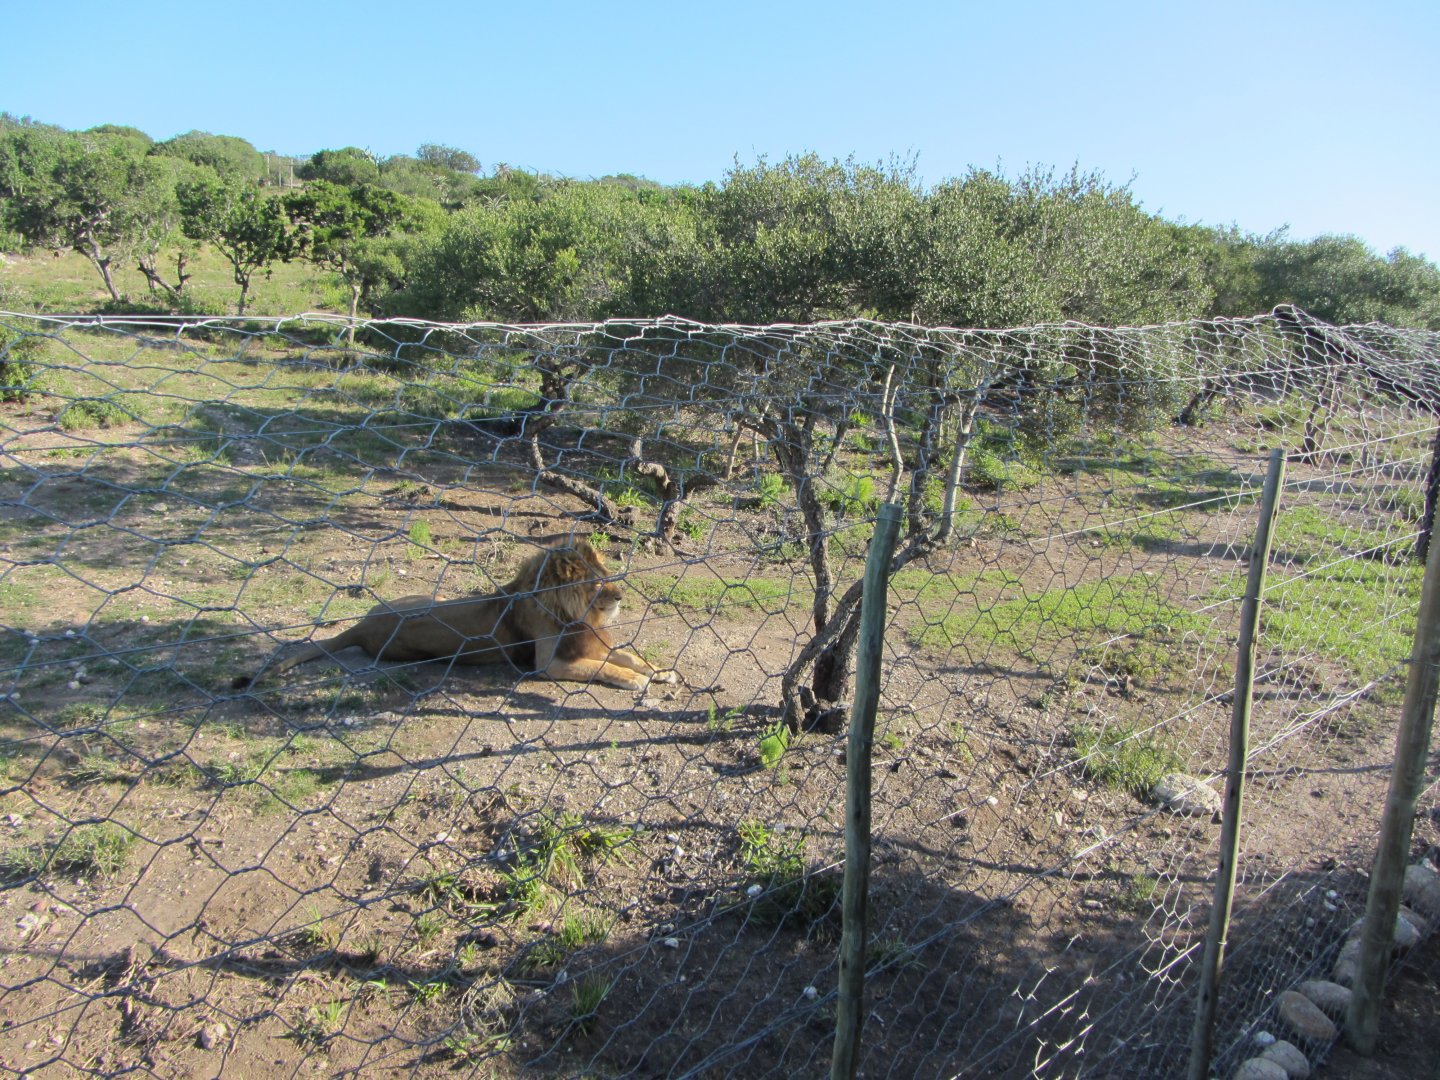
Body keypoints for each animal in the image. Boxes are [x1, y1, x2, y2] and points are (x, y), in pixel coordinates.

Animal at [231, 539, 678, 693]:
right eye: (599, 584)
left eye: (609, 575)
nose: (622, 593)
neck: (573, 612)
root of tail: (363, 624)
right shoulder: (549, 664)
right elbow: (603, 667)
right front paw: (635, 680)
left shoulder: (590, 641)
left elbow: (627, 655)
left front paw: (660, 671)